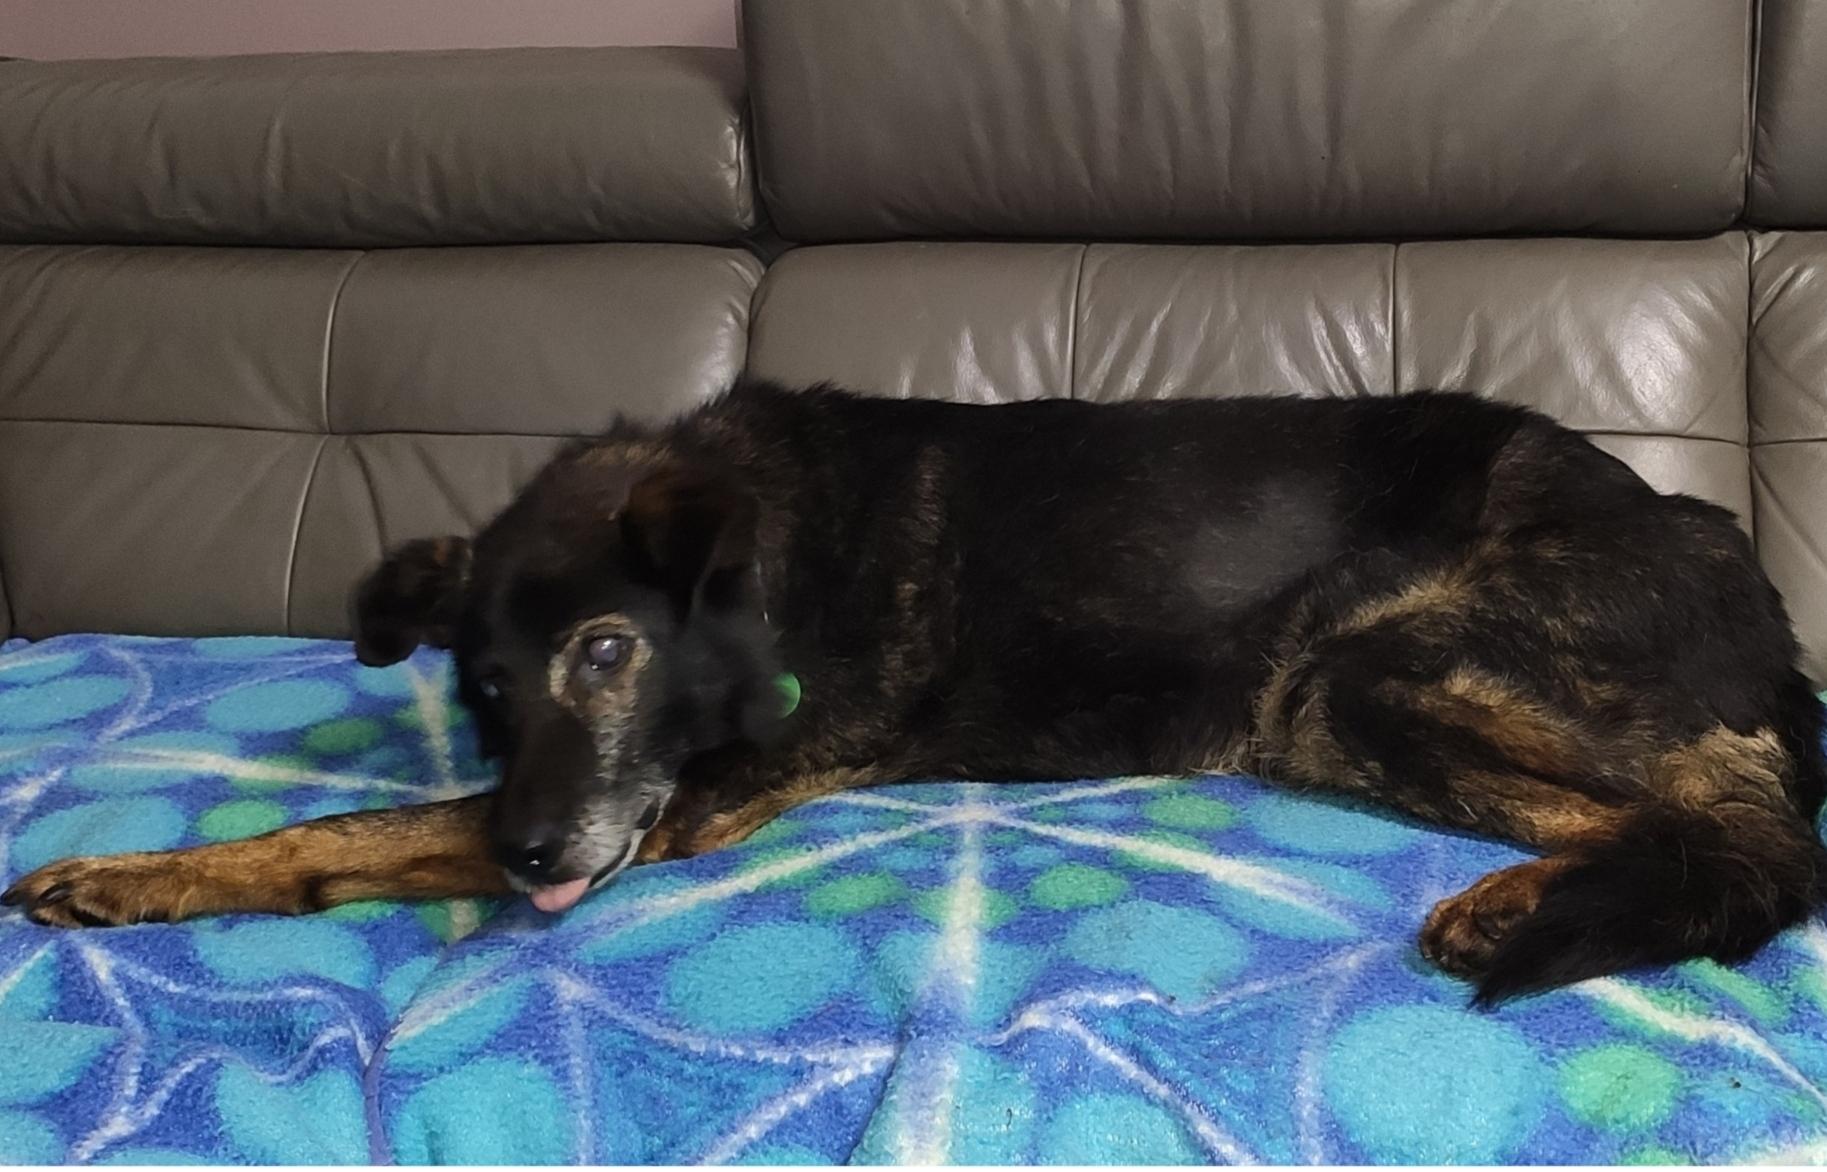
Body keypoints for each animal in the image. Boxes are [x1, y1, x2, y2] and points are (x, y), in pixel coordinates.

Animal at [7, 380, 1824, 1002]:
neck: (760, 561)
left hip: (1357, 661)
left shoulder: (673, 812)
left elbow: (362, 831)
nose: (533, 860)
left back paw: (1513, 905)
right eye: (480, 682)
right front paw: (133, 876)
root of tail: (1742, 579)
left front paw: (135, 872)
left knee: (1747, 844)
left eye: (605, 652)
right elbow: (362, 827)